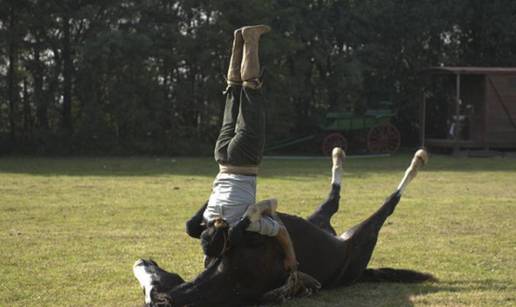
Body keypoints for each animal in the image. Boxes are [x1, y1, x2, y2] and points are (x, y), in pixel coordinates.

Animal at [133, 150, 436, 306]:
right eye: (150, 284)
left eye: (155, 278)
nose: (141, 262)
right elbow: (236, 227)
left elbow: (195, 228)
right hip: (363, 235)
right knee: (382, 203)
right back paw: (415, 162)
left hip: (318, 220)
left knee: (333, 199)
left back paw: (339, 156)